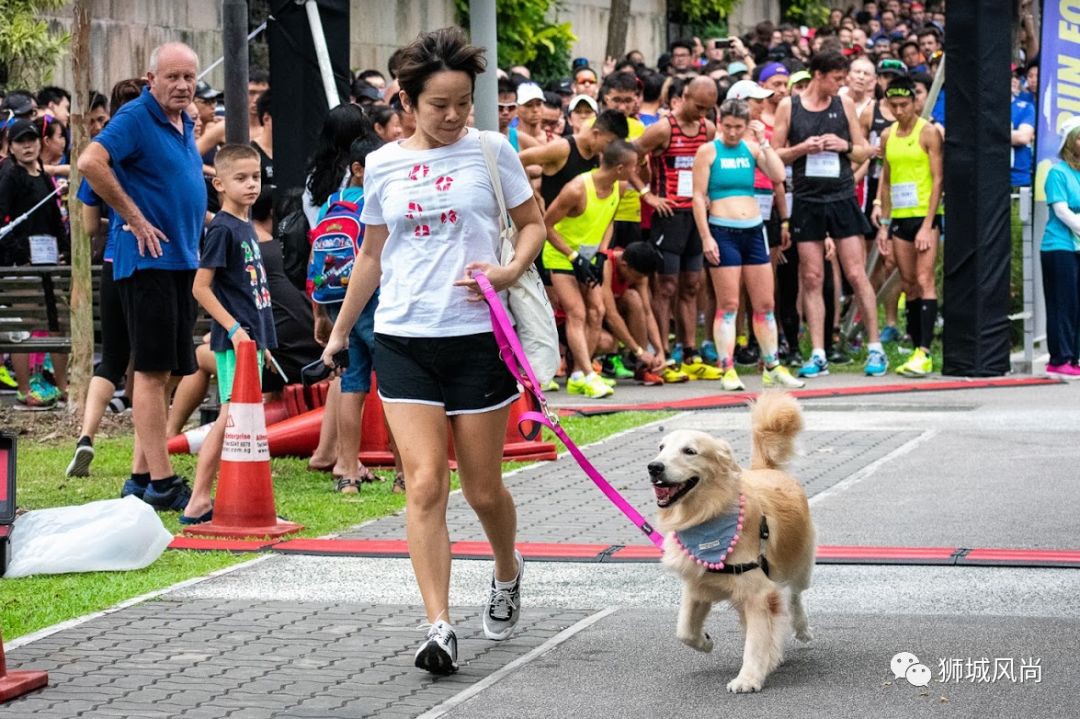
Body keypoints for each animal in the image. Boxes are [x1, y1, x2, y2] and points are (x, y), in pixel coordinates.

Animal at [648, 388, 812, 690]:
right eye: (661, 447)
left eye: (690, 451)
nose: (654, 467)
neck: (707, 516)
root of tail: (765, 469)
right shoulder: (697, 583)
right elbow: (684, 630)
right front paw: (705, 642)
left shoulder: (758, 592)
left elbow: (756, 641)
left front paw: (748, 678)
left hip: (800, 562)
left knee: (795, 596)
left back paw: (801, 629)